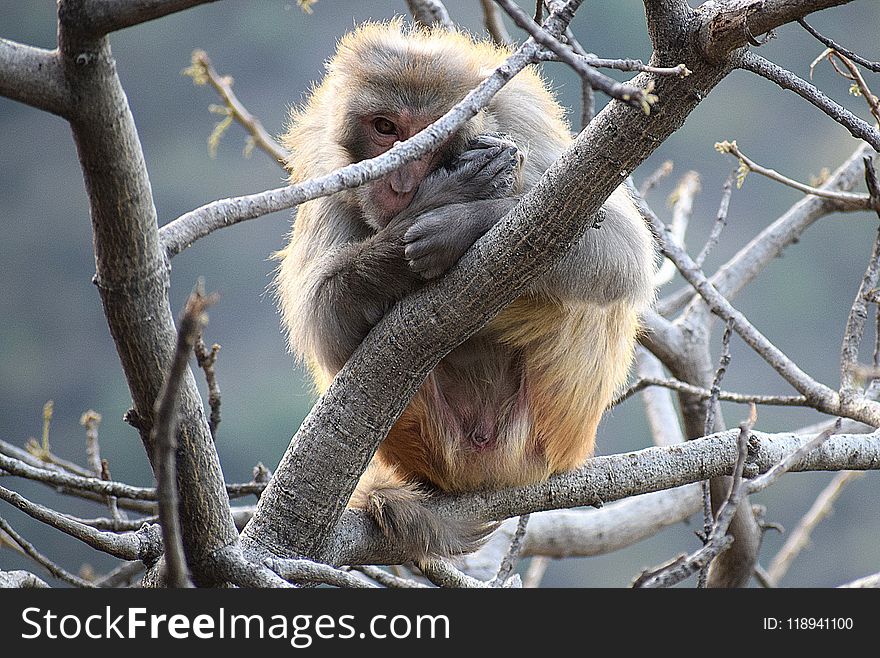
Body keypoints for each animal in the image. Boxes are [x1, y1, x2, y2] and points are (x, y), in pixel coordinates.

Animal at [276, 19, 652, 552]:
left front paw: (462, 220)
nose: (399, 180)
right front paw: (440, 203)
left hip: (547, 427)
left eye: (429, 138)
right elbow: (322, 318)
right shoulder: (327, 166)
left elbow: (623, 251)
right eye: (385, 128)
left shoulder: (521, 120)